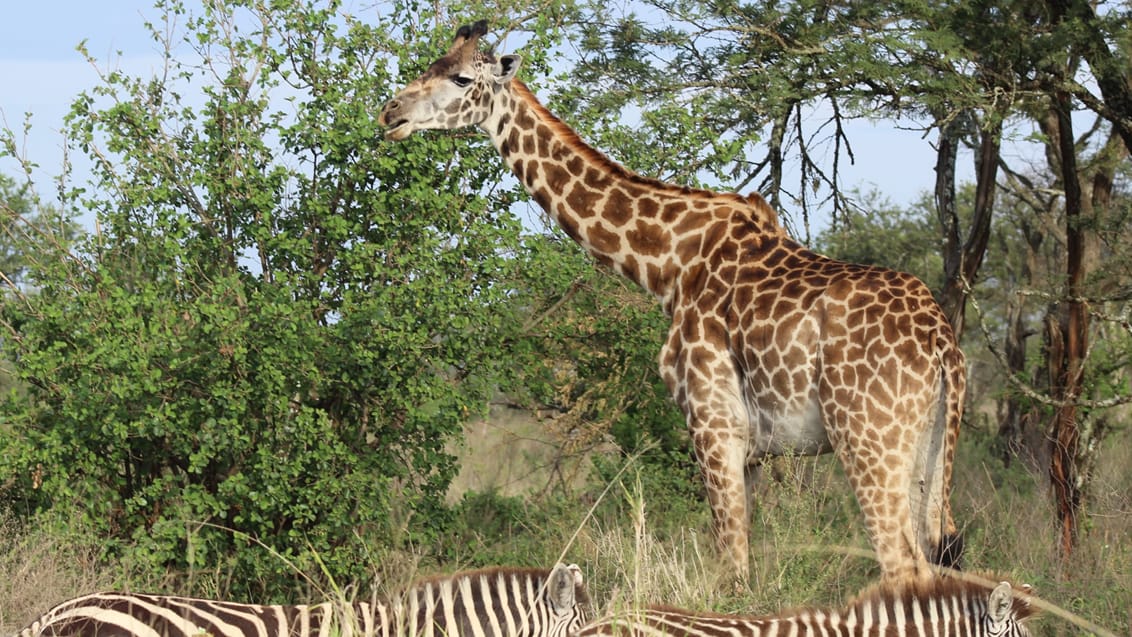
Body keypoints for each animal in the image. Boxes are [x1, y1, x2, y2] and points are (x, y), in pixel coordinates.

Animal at [380, 21, 964, 583]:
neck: (668, 264)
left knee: (902, 565)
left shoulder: (713, 423)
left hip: (868, 441)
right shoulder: (748, 449)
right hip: (929, 455)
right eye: (430, 64)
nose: (391, 113)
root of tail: (942, 345)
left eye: (461, 79)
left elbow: (733, 572)